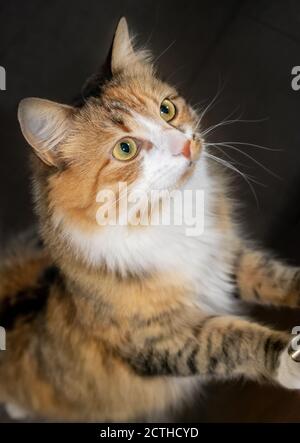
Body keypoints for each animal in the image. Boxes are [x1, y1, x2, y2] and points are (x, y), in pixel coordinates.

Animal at [0, 18, 300, 424]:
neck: (168, 213)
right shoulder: (161, 339)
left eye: (167, 110)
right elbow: (232, 341)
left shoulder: (226, 259)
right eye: (125, 149)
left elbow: (275, 277)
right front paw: (289, 359)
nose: (186, 145)